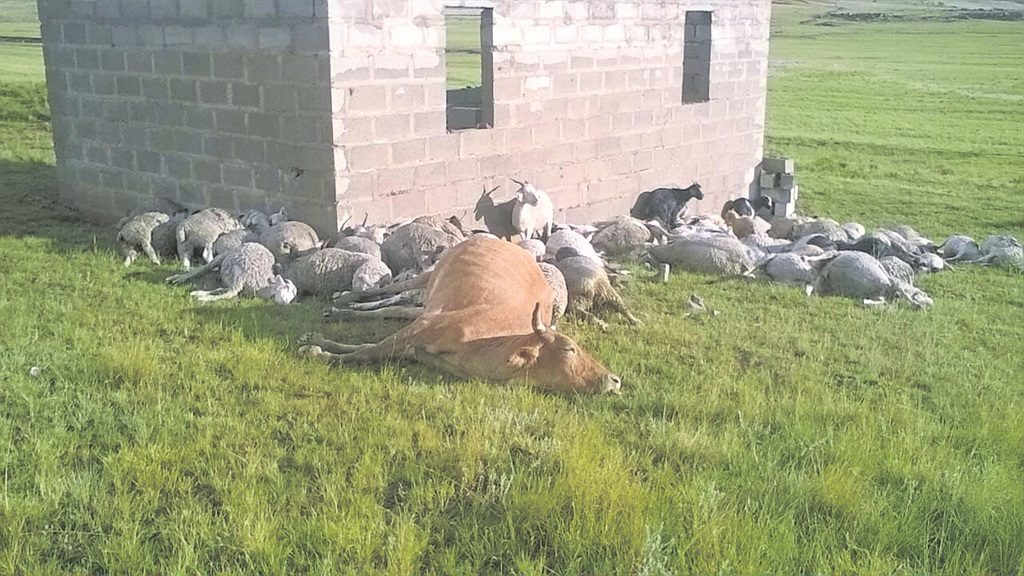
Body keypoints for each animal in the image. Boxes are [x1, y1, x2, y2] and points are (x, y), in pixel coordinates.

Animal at [292, 235, 618, 391]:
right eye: (569, 349)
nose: (615, 379)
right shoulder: (428, 326)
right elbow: (368, 350)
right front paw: (316, 347)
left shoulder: (420, 341)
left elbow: (372, 348)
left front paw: (320, 344)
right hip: (432, 274)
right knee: (394, 289)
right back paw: (347, 299)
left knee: (398, 308)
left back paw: (346, 311)